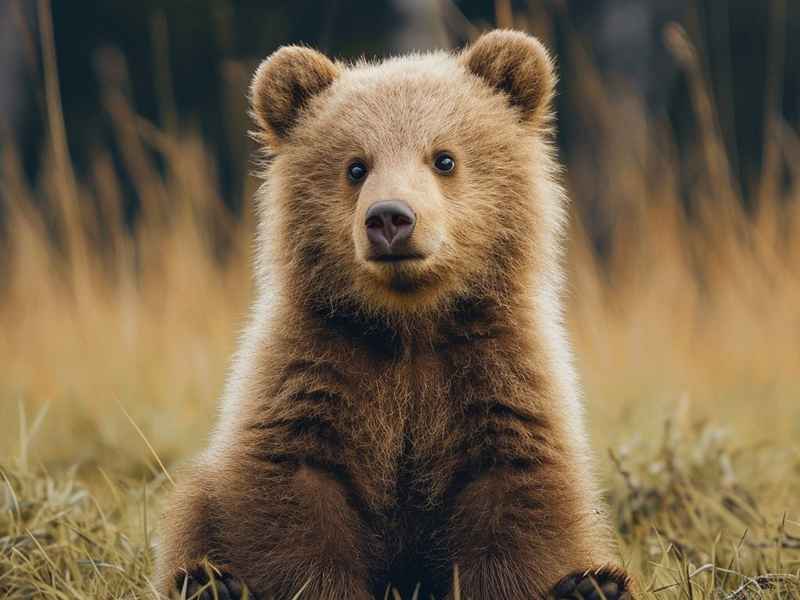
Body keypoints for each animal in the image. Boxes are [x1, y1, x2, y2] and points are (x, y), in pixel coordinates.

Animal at [155, 29, 633, 600]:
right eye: (356, 166)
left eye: (444, 158)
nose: (390, 218)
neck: (409, 326)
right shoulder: (315, 370)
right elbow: (297, 503)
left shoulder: (494, 374)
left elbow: (514, 501)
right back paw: (211, 583)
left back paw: (592, 585)